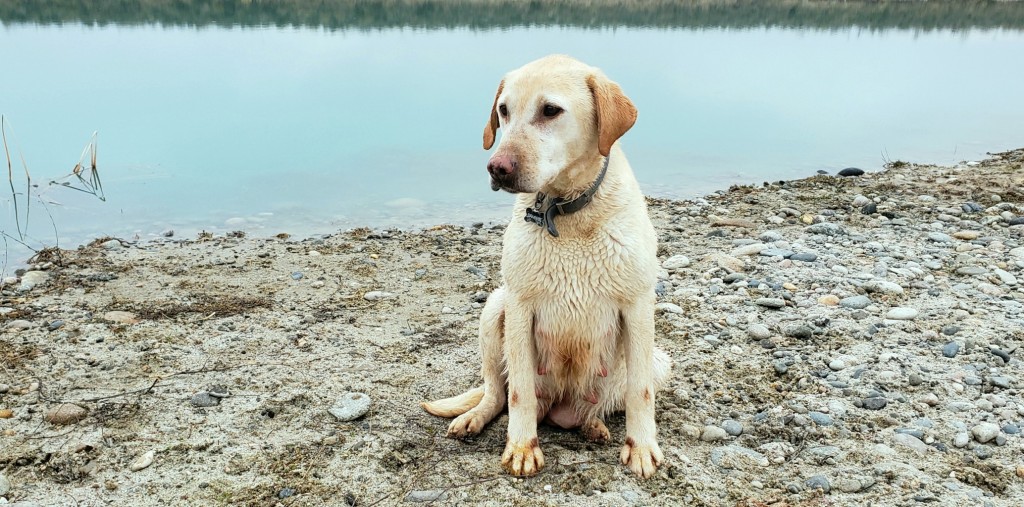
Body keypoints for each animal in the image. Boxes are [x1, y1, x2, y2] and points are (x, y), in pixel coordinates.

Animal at [423, 55, 671, 479]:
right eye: (504, 110)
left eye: (550, 110)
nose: (497, 168)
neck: (565, 211)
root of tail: (562, 407)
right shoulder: (521, 308)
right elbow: (519, 393)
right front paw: (522, 446)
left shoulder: (638, 306)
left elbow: (640, 393)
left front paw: (641, 447)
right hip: (495, 310)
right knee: (497, 392)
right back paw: (475, 417)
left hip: (659, 359)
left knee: (608, 402)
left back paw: (594, 425)